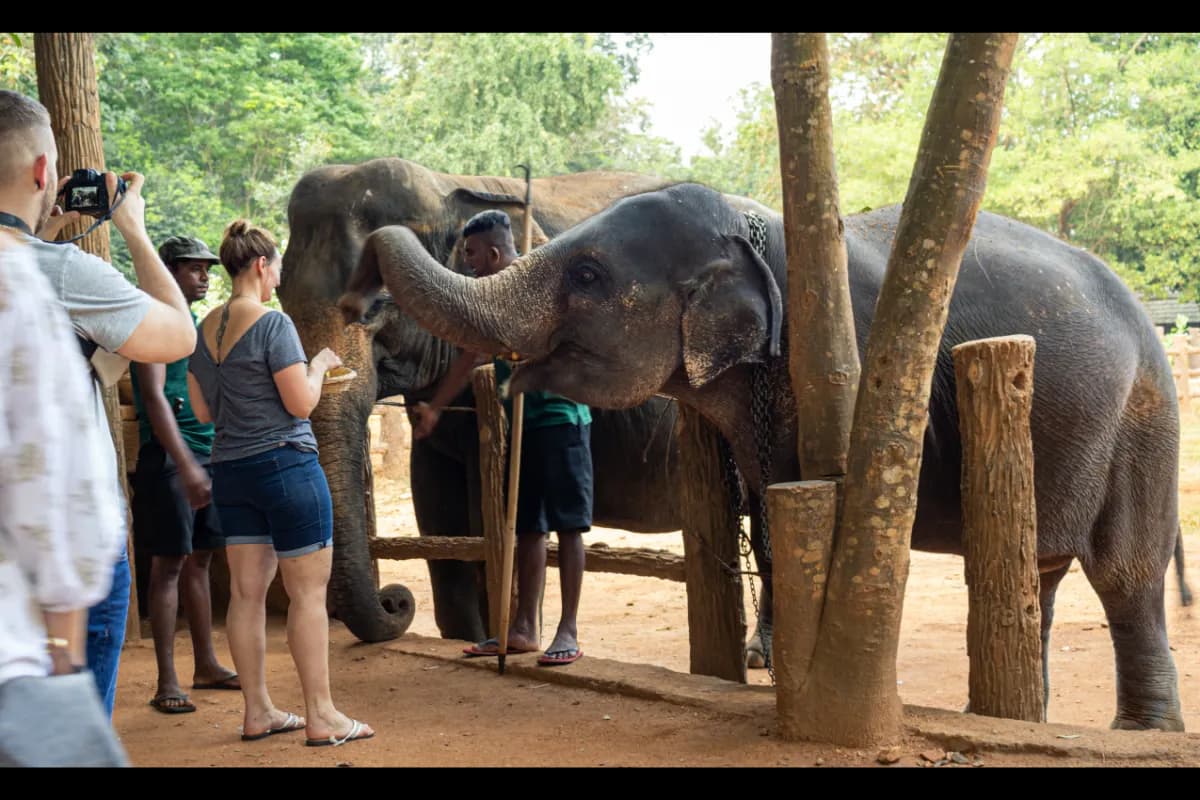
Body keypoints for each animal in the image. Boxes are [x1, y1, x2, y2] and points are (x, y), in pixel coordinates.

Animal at [279, 157, 703, 647]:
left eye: (379, 305)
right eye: (281, 300)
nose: (395, 601)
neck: (449, 185)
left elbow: (495, 517)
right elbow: (435, 507)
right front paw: (463, 638)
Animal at [343, 180, 1192, 732]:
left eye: (586, 275)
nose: (357, 295)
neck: (762, 228)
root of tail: (1143, 311)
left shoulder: (859, 367)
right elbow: (771, 508)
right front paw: (778, 669)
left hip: (1145, 414)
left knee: (1126, 573)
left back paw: (1141, 732)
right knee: (1038, 572)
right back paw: (1021, 714)